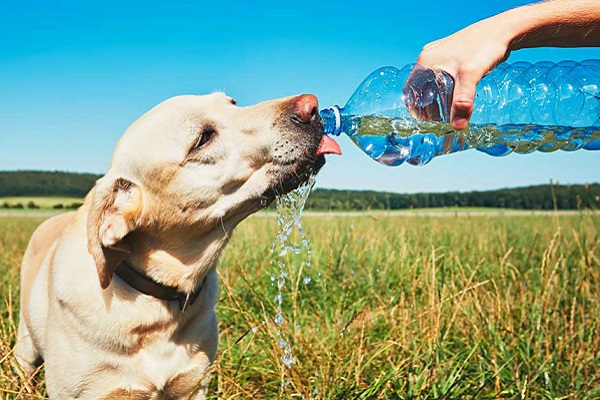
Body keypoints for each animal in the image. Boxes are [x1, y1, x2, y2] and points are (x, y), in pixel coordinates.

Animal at [15, 92, 342, 398]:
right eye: (203, 139)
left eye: (233, 103)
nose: (312, 106)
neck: (156, 306)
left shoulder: (192, 385)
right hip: (25, 347)